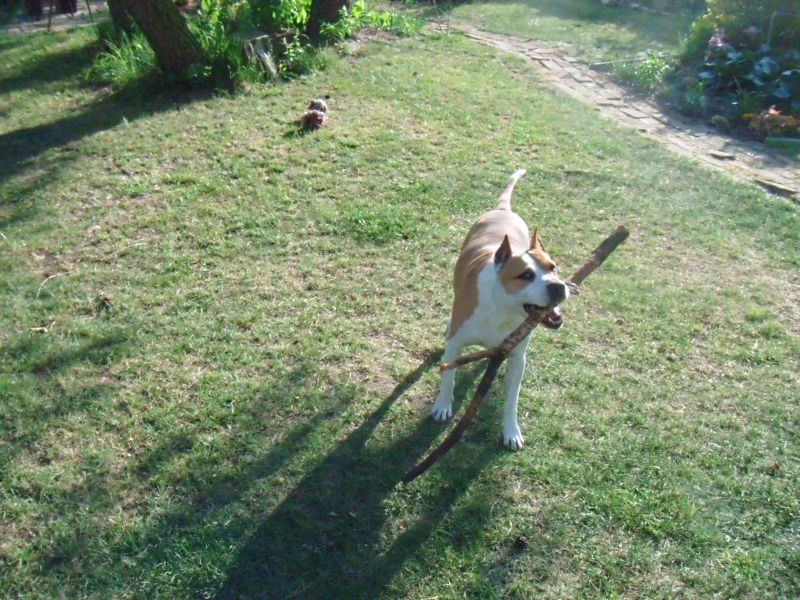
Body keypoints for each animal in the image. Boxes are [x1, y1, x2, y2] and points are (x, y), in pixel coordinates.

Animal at [431, 169, 569, 450]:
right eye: (526, 275)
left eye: (553, 267)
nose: (559, 286)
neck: (503, 310)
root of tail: (503, 209)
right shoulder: (455, 345)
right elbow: (448, 375)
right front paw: (442, 405)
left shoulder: (517, 358)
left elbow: (512, 400)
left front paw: (511, 431)